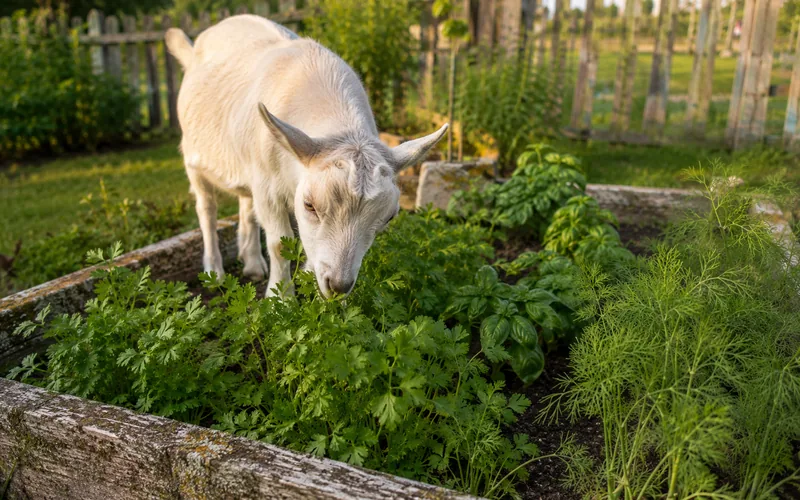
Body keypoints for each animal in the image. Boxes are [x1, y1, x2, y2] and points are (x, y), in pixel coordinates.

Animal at [165, 15, 446, 298]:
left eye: (389, 217)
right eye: (309, 205)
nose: (339, 286)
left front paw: (311, 281)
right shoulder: (268, 188)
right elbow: (279, 244)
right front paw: (280, 297)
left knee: (246, 204)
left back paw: (253, 264)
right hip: (192, 157)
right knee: (206, 209)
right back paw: (215, 271)